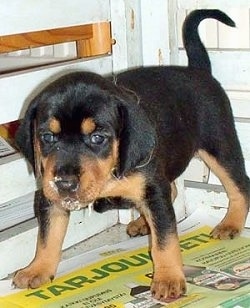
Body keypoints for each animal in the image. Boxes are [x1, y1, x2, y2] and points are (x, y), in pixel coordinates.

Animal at [13, 9, 250, 300]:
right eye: (47, 137)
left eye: (97, 138)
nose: (65, 183)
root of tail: (198, 70)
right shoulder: (49, 195)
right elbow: (48, 236)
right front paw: (37, 269)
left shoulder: (153, 193)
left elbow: (165, 239)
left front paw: (168, 278)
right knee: (173, 189)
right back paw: (141, 223)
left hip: (220, 147)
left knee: (239, 186)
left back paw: (231, 224)